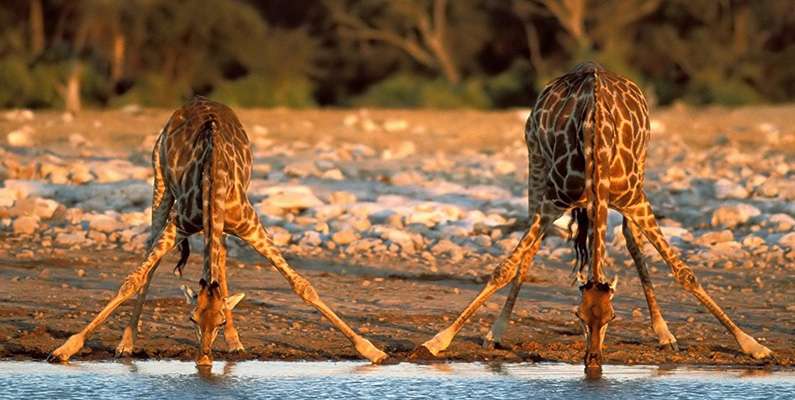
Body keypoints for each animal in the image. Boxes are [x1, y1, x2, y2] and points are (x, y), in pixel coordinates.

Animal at [46, 96, 388, 366]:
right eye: (191, 318)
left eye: (220, 320)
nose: (204, 359)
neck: (213, 179)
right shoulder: (179, 224)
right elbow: (132, 280)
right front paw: (65, 349)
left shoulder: (251, 225)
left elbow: (302, 286)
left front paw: (372, 350)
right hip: (160, 182)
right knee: (152, 257)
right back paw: (126, 343)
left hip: (217, 222)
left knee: (220, 264)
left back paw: (236, 342)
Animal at [414, 61, 776, 368]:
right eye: (578, 316)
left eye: (612, 317)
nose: (593, 361)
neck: (596, 142)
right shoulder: (552, 202)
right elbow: (503, 268)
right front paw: (438, 340)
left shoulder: (635, 200)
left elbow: (685, 273)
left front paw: (754, 345)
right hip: (536, 164)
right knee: (531, 248)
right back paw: (496, 331)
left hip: (641, 169)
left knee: (631, 239)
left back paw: (664, 333)